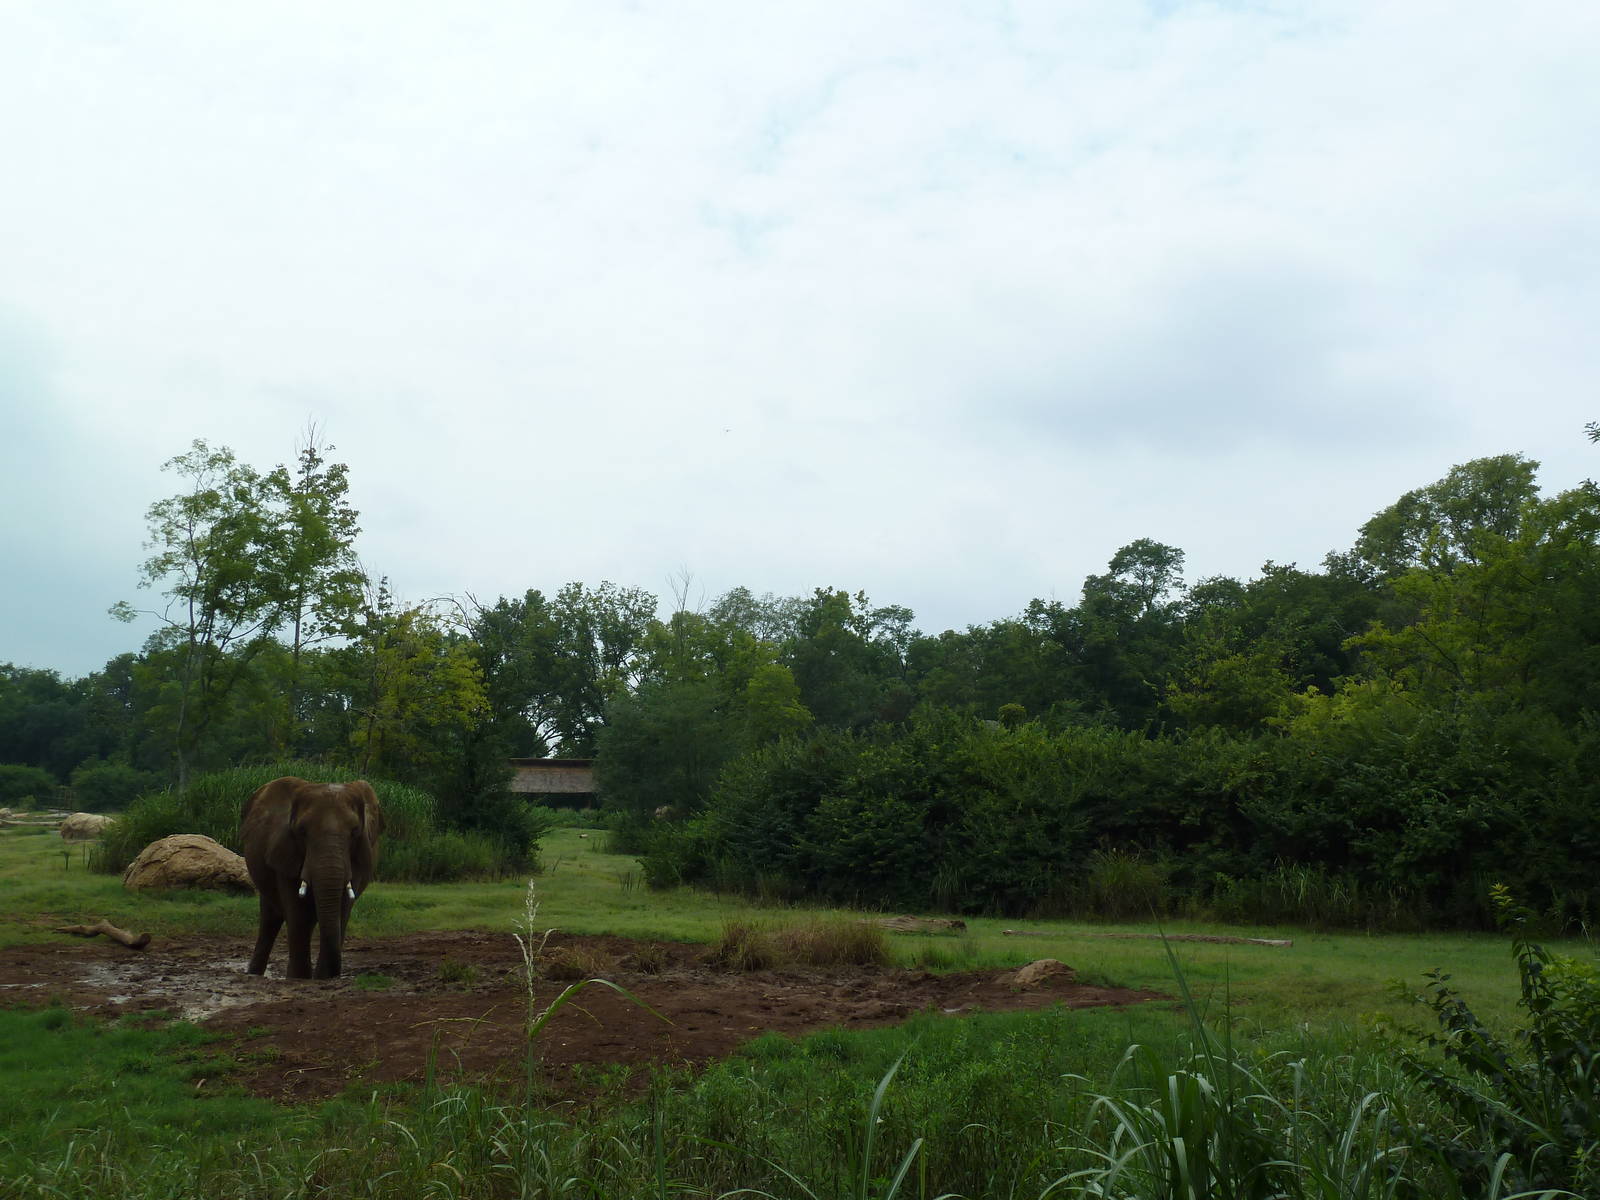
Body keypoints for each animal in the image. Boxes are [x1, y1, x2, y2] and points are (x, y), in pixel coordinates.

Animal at [240, 776, 383, 979]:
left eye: (355, 831)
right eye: (302, 831)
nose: (328, 975)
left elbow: (342, 908)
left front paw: (322, 978)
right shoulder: (285, 852)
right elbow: (298, 911)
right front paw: (299, 978)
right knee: (270, 918)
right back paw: (255, 974)